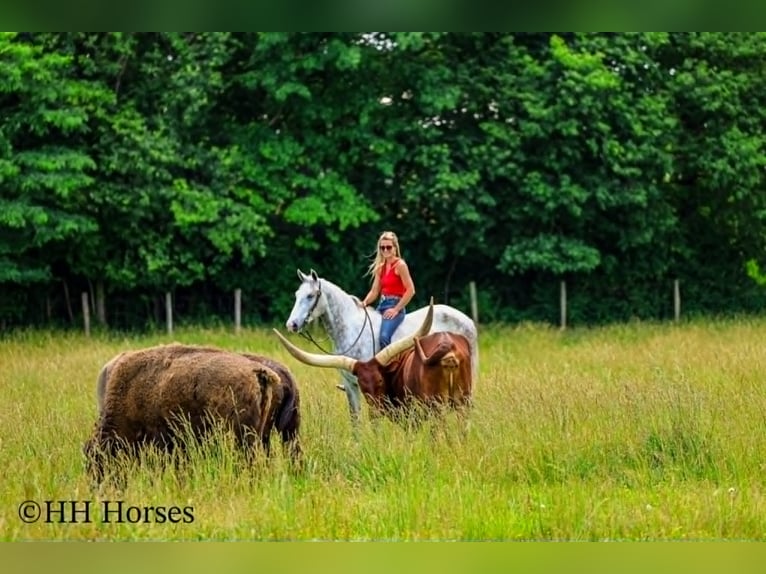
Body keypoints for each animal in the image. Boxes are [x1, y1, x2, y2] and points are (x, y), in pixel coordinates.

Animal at [284, 269, 479, 420]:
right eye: (296, 295)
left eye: (310, 296)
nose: (291, 324)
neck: (350, 329)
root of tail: (468, 320)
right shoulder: (351, 385)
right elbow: (355, 420)